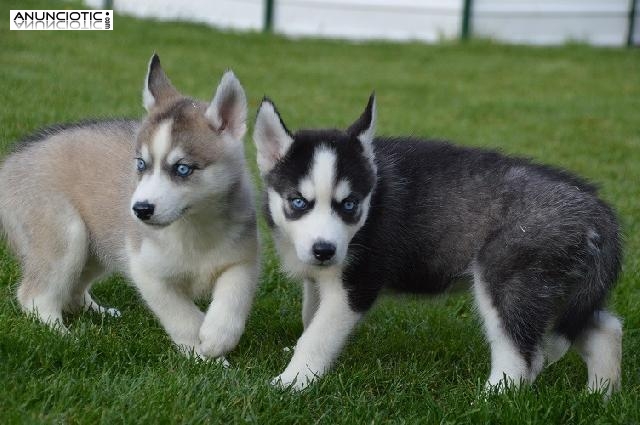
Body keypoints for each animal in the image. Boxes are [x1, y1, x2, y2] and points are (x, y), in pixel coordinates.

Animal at [2, 52, 258, 358]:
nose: (140, 210)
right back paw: (63, 335)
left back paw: (98, 312)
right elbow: (183, 317)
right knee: (34, 295)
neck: (192, 227)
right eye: (141, 164)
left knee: (72, 291)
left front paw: (218, 337)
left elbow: (234, 298)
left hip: (97, 247)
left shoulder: (242, 259)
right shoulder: (146, 271)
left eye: (182, 169)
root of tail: (11, 161)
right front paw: (204, 357)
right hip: (67, 234)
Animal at [252, 94, 624, 392]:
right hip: (559, 289)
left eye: (349, 204)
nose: (324, 250)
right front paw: (296, 359)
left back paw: (491, 398)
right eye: (298, 201)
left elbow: (318, 335)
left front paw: (292, 381)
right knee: (605, 328)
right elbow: (309, 318)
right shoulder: (319, 279)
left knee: (523, 357)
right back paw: (599, 395)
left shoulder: (356, 285)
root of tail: (595, 206)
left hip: (507, 278)